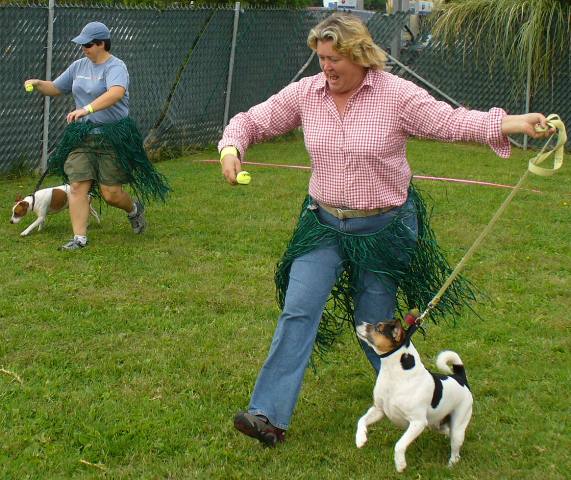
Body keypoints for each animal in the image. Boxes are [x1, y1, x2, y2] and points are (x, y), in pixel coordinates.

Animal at [358, 318, 474, 472]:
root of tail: (461, 379)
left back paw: (450, 465)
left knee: (455, 450)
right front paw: (360, 439)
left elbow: (399, 444)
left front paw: (400, 464)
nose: (360, 323)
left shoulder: (417, 422)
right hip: (437, 424)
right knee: (446, 431)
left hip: (458, 425)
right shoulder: (378, 410)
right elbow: (361, 420)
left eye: (378, 328)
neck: (396, 375)